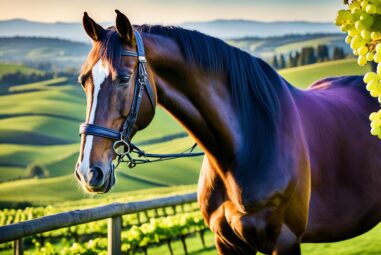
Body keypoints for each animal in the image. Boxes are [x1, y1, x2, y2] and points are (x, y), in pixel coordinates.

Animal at [74, 9, 381, 255]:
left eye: (124, 78)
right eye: (83, 80)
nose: (89, 172)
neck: (241, 148)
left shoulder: (285, 242)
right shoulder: (227, 242)